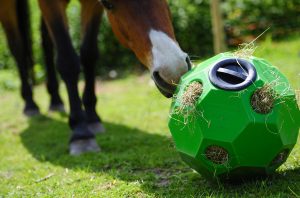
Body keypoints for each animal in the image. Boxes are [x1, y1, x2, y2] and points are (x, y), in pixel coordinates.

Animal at [1, 0, 191, 155]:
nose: (173, 71)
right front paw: (81, 133)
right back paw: (30, 104)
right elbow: (67, 60)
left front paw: (92, 118)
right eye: (108, 3)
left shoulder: (91, 5)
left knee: (45, 40)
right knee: (17, 48)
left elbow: (89, 54)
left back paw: (55, 101)